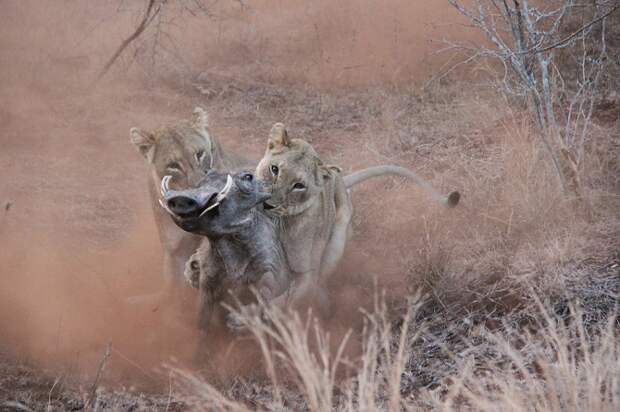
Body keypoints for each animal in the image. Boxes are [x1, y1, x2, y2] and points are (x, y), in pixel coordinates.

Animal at [256, 124, 460, 310]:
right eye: (274, 169)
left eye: (299, 185)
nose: (268, 204)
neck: (280, 224)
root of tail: (338, 178)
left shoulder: (307, 272)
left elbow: (287, 298)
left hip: (338, 237)